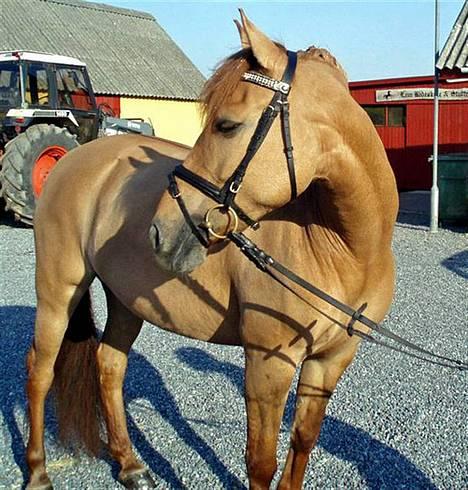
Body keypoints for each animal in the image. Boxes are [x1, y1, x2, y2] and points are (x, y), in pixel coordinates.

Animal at [24, 10, 398, 490]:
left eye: (227, 125)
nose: (161, 232)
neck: (341, 250)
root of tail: (75, 158)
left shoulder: (330, 360)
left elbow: (302, 444)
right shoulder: (267, 366)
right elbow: (261, 462)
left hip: (125, 299)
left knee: (109, 365)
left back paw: (129, 464)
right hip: (59, 291)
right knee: (41, 369)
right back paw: (37, 471)